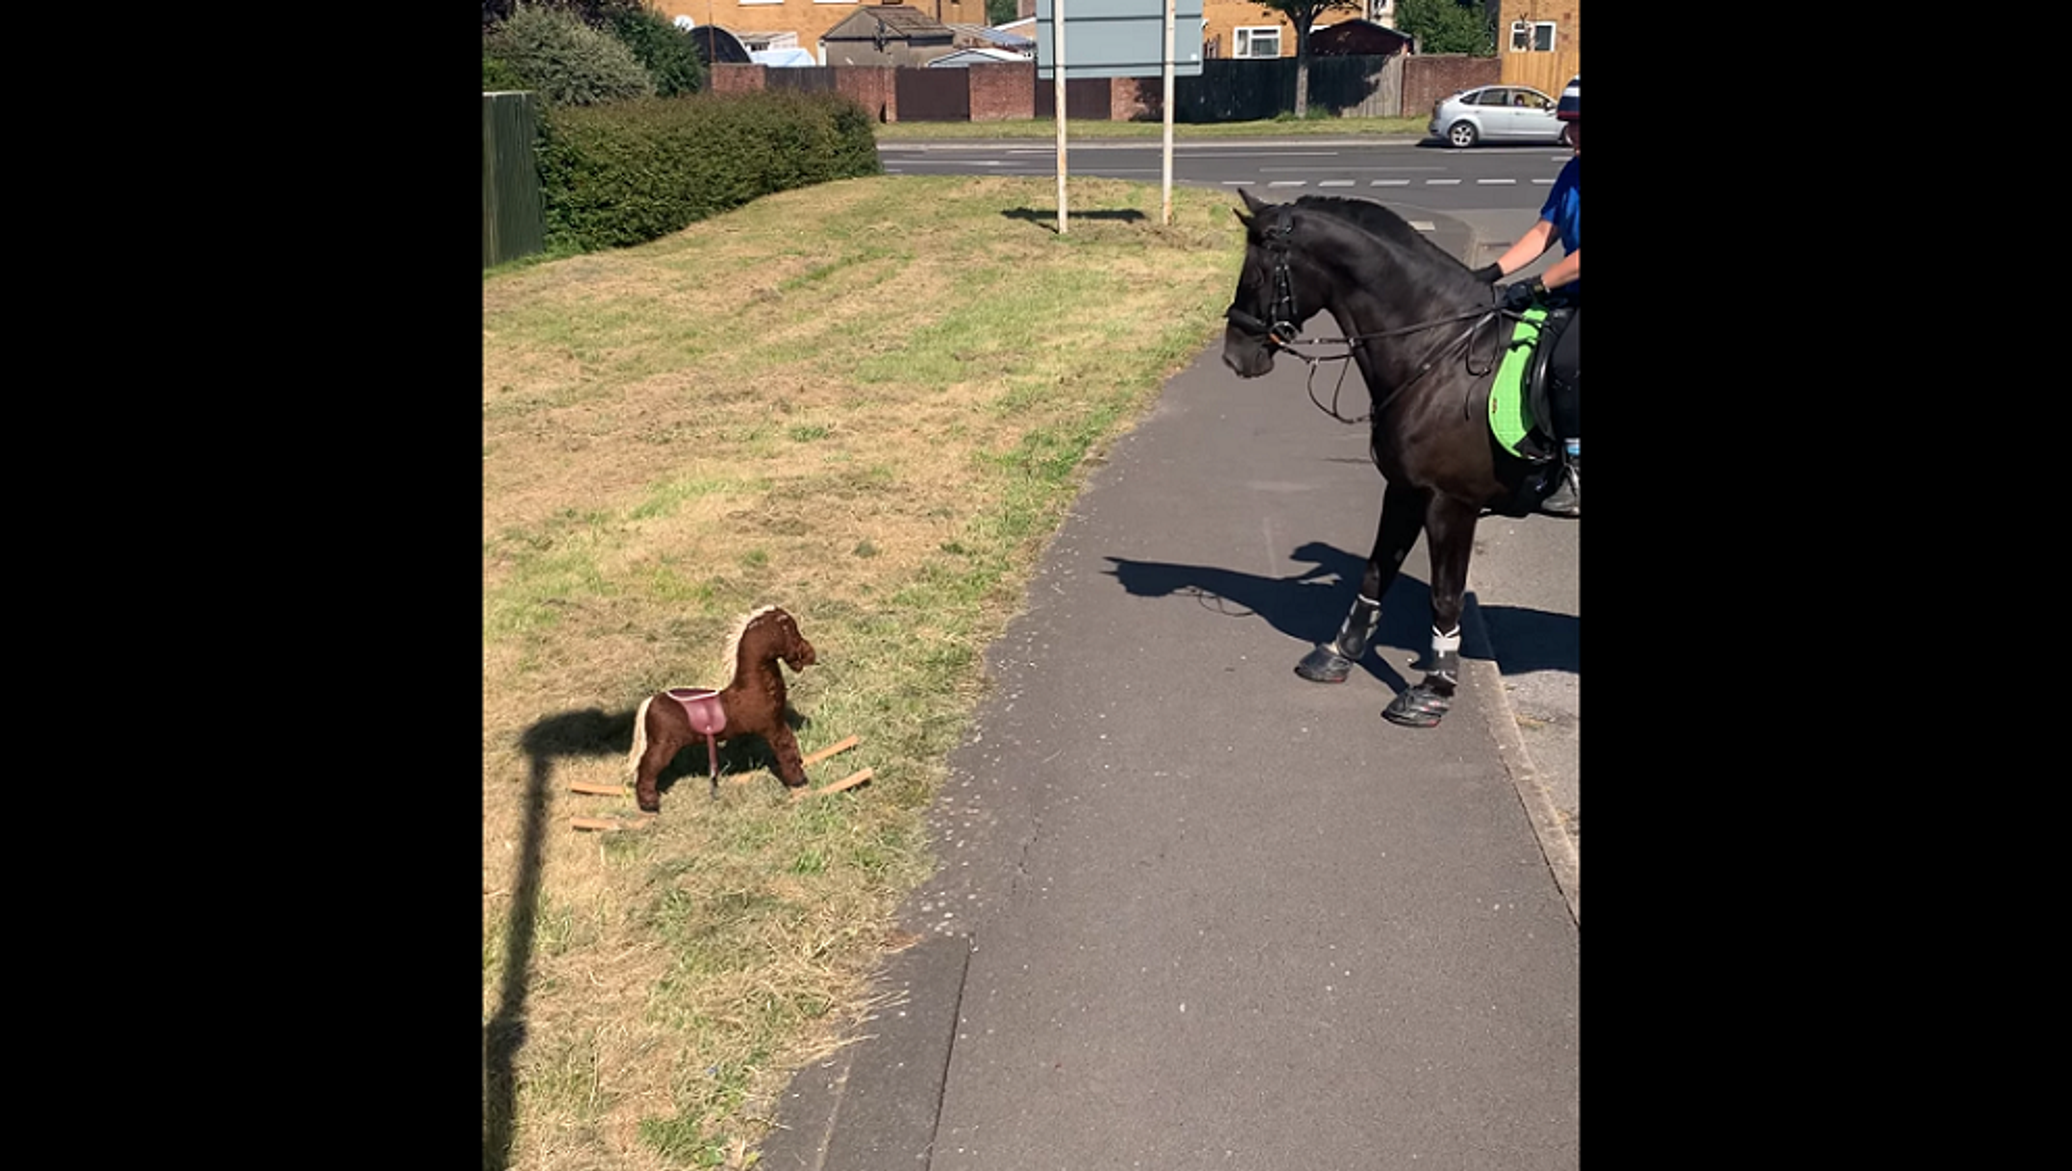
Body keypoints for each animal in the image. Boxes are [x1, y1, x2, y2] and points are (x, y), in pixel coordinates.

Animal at [1218, 187, 1549, 725]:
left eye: (1258, 275)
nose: (1235, 355)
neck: (1440, 352)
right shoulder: (1406, 490)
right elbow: (1376, 571)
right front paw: (1339, 652)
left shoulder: (1451, 503)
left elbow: (1445, 595)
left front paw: (1434, 688)